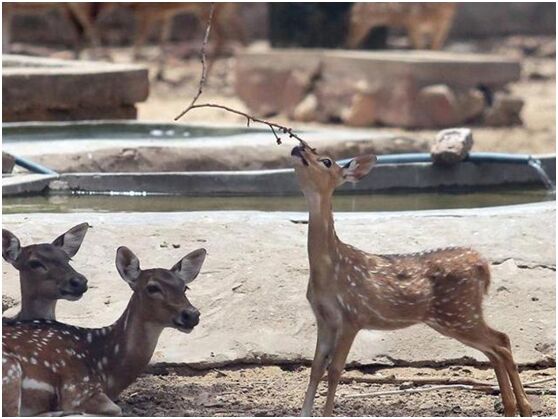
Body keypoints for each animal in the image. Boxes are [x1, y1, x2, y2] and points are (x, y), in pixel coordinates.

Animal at [2, 246, 208, 416]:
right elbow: (115, 409)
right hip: (10, 370)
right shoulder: (78, 389)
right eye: (152, 287)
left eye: (185, 287)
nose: (191, 314)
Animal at [294, 146, 532, 418]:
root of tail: (483, 265)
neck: (329, 270)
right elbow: (315, 368)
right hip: (454, 317)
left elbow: (334, 370)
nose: (298, 147)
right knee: (495, 348)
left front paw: (326, 413)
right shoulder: (324, 319)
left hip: (459, 313)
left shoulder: (353, 316)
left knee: (501, 342)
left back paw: (524, 406)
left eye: (326, 161)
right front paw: (304, 412)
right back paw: (513, 407)